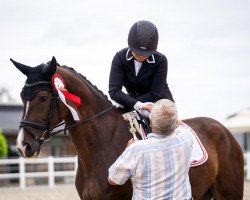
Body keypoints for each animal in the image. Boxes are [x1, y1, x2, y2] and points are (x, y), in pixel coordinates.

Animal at [12, 56, 244, 200]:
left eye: (43, 98)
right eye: (22, 97)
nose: (23, 146)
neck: (99, 144)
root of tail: (225, 130)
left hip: (229, 192)